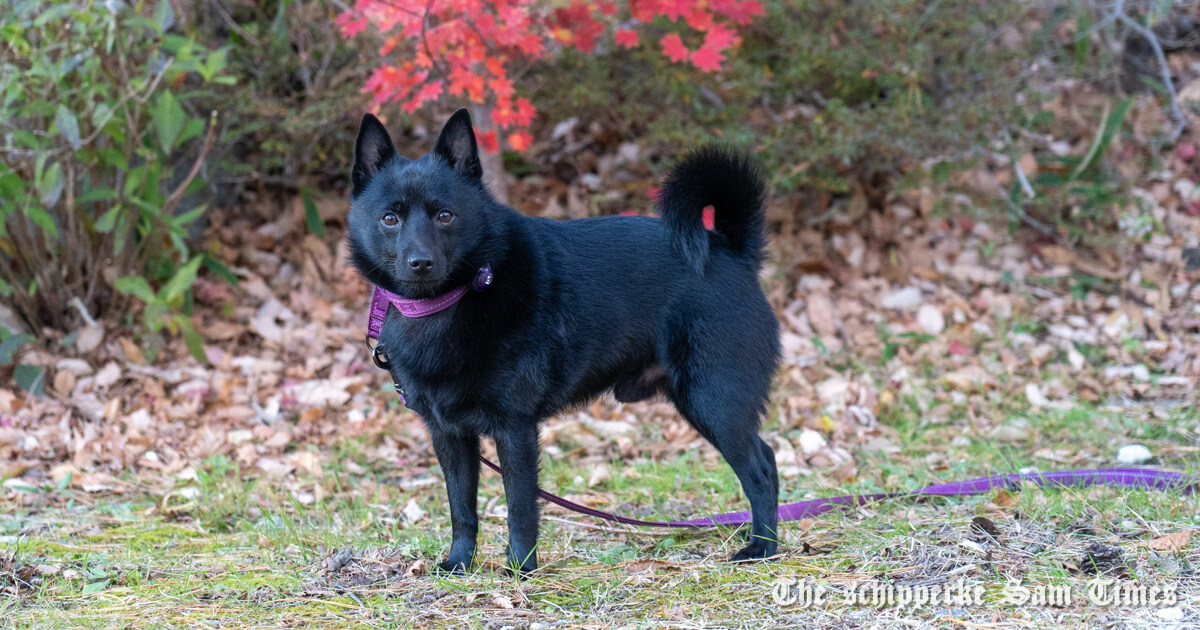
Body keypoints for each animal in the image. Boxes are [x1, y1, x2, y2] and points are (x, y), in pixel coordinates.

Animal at [343, 109, 782, 573]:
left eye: (445, 216)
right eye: (390, 219)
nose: (420, 262)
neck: (453, 301)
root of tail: (731, 250)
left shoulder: (515, 428)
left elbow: (520, 507)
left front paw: (520, 567)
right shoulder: (449, 434)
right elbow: (461, 508)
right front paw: (459, 564)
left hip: (715, 400)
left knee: (761, 471)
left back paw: (763, 547)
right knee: (768, 459)